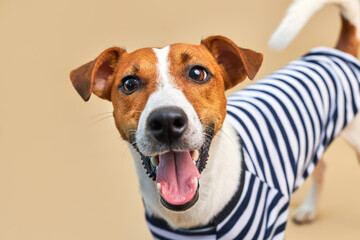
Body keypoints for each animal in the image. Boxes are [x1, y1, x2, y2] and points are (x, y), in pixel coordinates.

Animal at [69, 0, 358, 238]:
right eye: (129, 83)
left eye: (198, 73)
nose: (166, 122)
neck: (190, 217)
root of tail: (337, 52)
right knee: (320, 168)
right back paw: (309, 209)